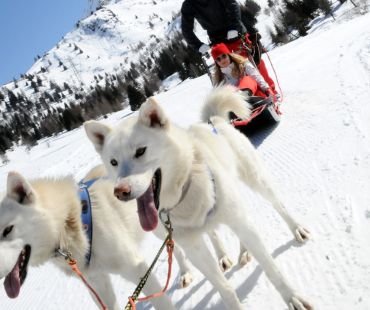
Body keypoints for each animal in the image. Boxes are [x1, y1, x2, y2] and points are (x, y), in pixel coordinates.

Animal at [85, 86, 314, 308]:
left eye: (140, 151)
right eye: (113, 162)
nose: (119, 191)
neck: (184, 190)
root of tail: (212, 121)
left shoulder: (240, 221)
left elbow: (272, 269)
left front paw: (293, 298)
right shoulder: (194, 249)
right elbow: (224, 288)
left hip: (255, 180)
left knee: (277, 205)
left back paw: (295, 229)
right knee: (215, 232)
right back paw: (234, 253)